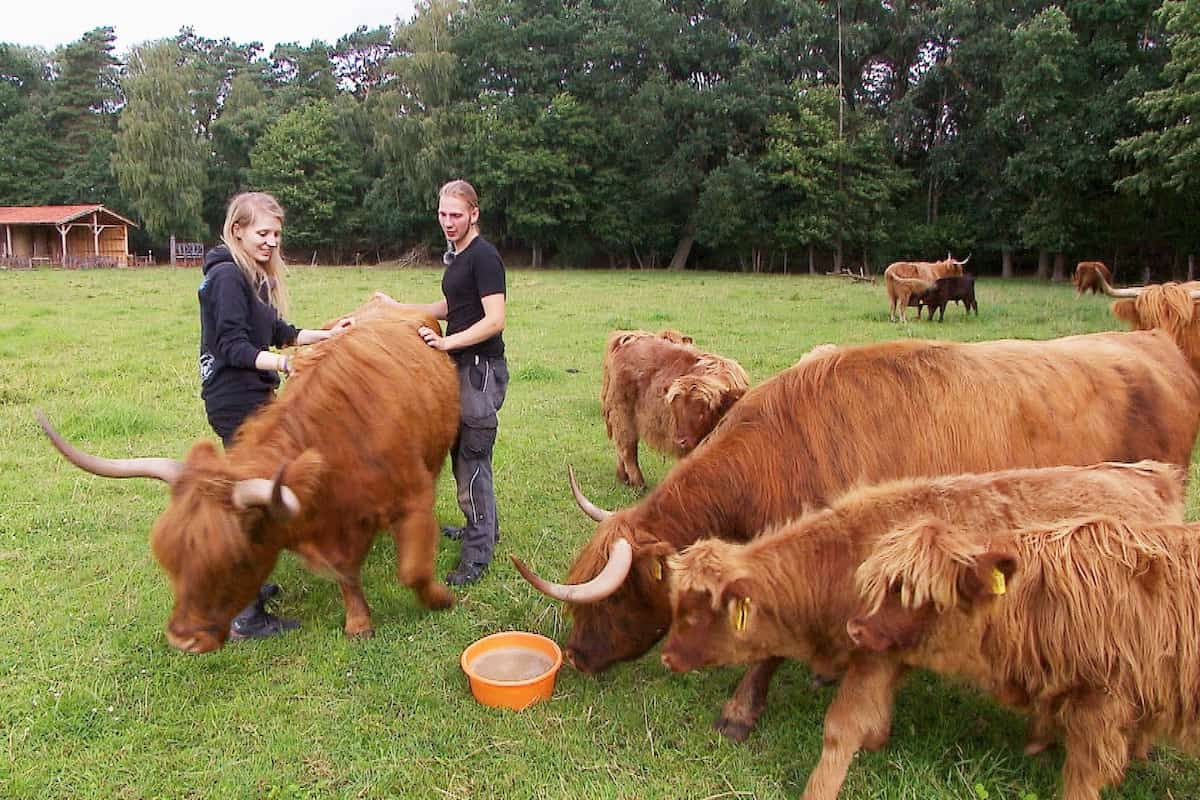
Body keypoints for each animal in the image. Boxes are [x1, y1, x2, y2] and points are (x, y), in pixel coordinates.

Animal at [37, 304, 458, 652]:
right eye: (171, 559)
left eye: (238, 561)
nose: (183, 640)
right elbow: (346, 572)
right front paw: (359, 623)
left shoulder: (415, 498)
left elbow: (414, 571)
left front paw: (441, 600)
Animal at [600, 331, 748, 489]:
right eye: (675, 409)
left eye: (703, 412)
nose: (680, 441)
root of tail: (628, 337)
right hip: (623, 416)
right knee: (627, 449)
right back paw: (638, 484)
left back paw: (623, 478)